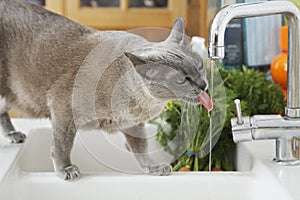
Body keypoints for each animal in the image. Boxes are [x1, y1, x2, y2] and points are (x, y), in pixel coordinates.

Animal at [0, 0, 211, 180]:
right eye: (182, 80)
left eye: (200, 66)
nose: (203, 84)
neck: (143, 103)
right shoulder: (63, 110)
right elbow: (62, 144)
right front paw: (65, 169)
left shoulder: (133, 124)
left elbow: (140, 147)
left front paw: (153, 167)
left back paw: (13, 135)